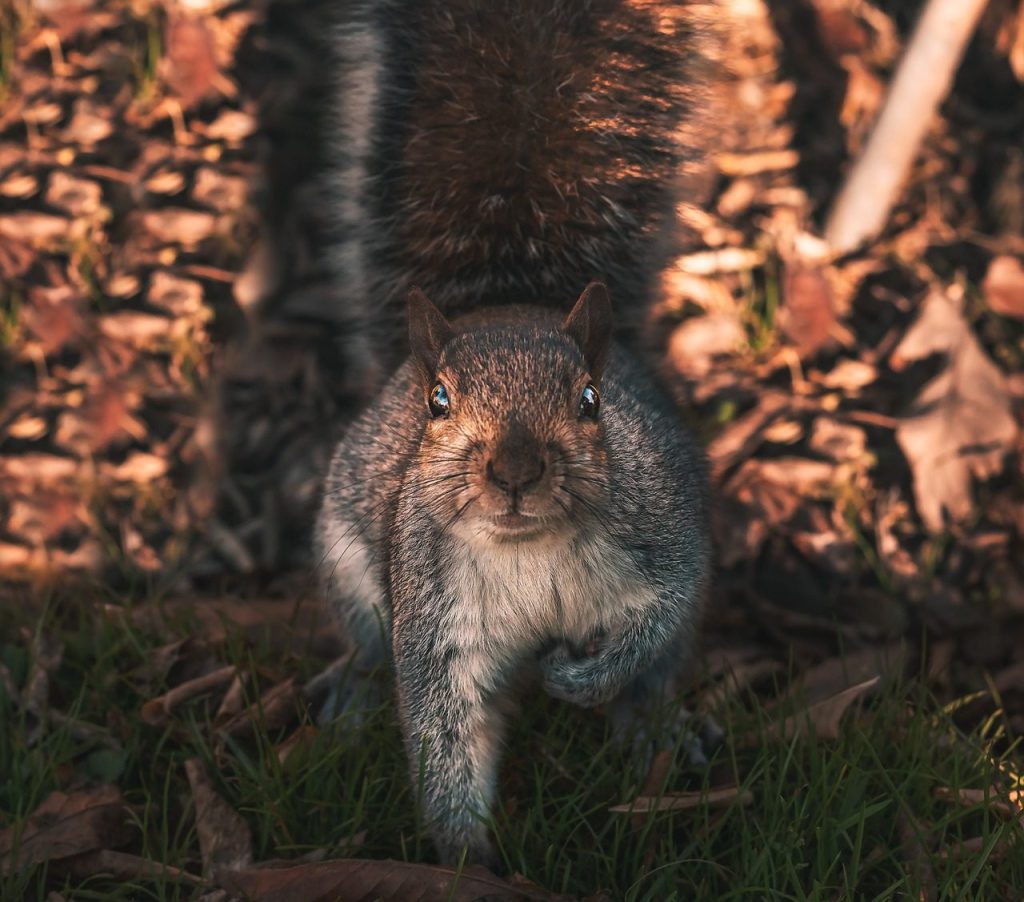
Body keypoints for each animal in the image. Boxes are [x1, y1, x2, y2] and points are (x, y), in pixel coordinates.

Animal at [316, 0, 711, 867]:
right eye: (438, 400)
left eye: (591, 399)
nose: (516, 471)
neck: (529, 549)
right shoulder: (437, 622)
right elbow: (444, 736)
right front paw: (466, 859)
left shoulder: (664, 535)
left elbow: (658, 617)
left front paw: (580, 681)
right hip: (352, 558)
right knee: (365, 635)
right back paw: (352, 687)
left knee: (667, 659)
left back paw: (652, 721)